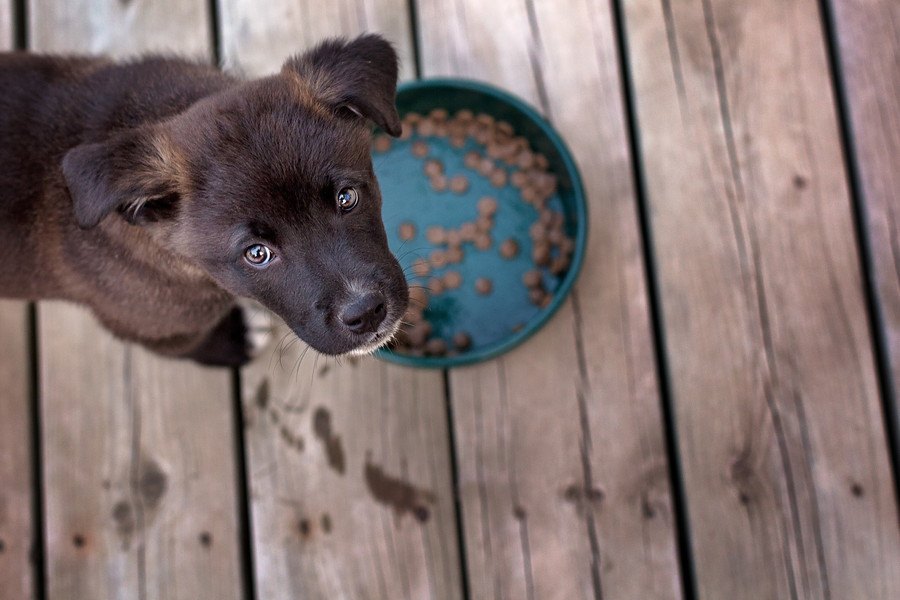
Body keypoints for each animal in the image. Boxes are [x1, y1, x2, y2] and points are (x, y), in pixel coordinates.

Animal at [0, 36, 408, 370]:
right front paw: (235, 341)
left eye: (347, 198)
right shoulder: (150, 327)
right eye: (256, 253)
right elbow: (188, 346)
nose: (366, 313)